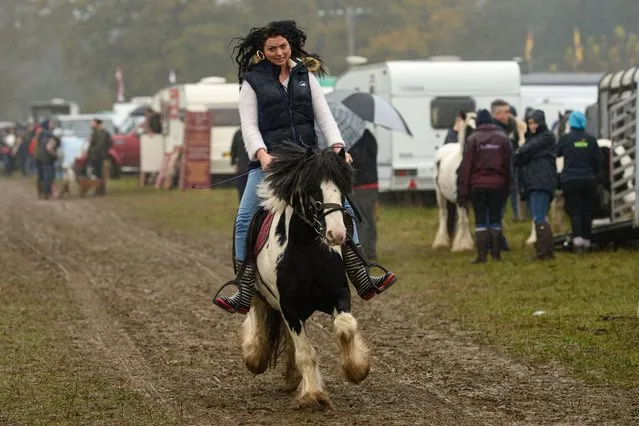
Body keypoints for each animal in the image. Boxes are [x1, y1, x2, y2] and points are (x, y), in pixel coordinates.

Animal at [239, 142, 370, 410]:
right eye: (312, 189)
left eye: (341, 189)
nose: (337, 233)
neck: (307, 253)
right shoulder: (289, 306)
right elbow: (306, 352)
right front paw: (312, 395)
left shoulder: (339, 294)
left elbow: (345, 326)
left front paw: (356, 369)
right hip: (262, 296)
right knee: (258, 313)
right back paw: (255, 355)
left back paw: (292, 378)